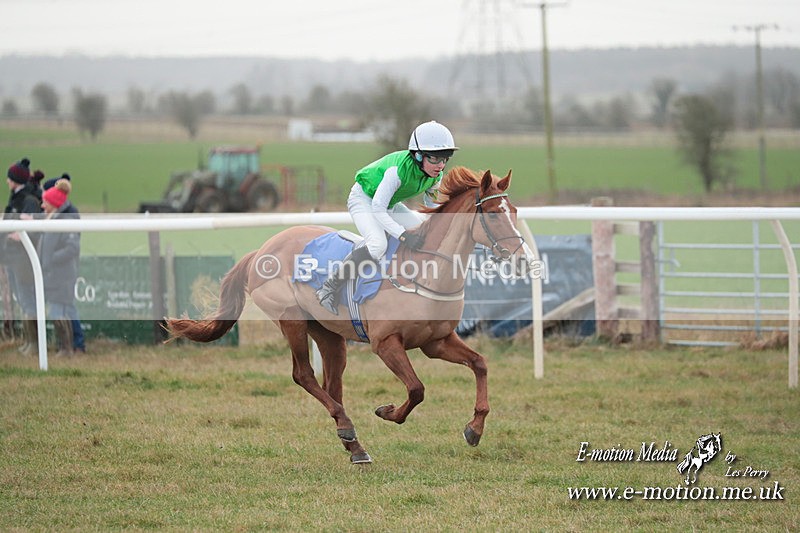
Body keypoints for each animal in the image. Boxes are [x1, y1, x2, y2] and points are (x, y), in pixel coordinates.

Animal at [167, 166, 528, 464]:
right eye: (494, 214)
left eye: (514, 211)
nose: (523, 258)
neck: (426, 271)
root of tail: (260, 250)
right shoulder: (385, 343)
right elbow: (416, 389)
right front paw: (388, 411)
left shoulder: (436, 341)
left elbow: (480, 364)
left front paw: (474, 428)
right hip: (291, 320)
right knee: (304, 375)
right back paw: (349, 430)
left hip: (328, 333)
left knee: (333, 384)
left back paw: (353, 444)